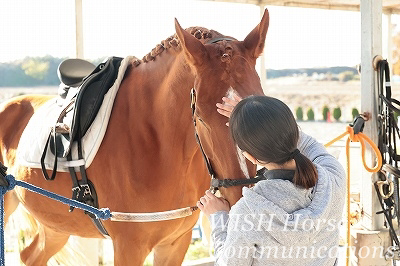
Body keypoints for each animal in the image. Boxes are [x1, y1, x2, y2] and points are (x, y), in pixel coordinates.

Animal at [0, 9, 268, 266]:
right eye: (200, 117)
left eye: (261, 103)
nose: (243, 199)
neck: (158, 142)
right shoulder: (129, 247)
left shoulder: (175, 244)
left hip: (56, 226)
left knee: (30, 256)